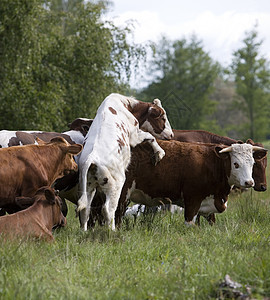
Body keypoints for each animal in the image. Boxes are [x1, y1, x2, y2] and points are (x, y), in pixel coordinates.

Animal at [76, 92, 173, 231]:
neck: (125, 106)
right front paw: (159, 152)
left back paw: (84, 231)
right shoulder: (134, 135)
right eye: (163, 118)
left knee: (85, 209)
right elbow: (150, 137)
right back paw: (112, 230)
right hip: (115, 185)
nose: (171, 135)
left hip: (88, 186)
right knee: (108, 209)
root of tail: (91, 158)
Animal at [113, 139, 266, 226]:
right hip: (121, 194)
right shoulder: (192, 200)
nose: (249, 182)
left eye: (253, 163)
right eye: (236, 164)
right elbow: (190, 223)